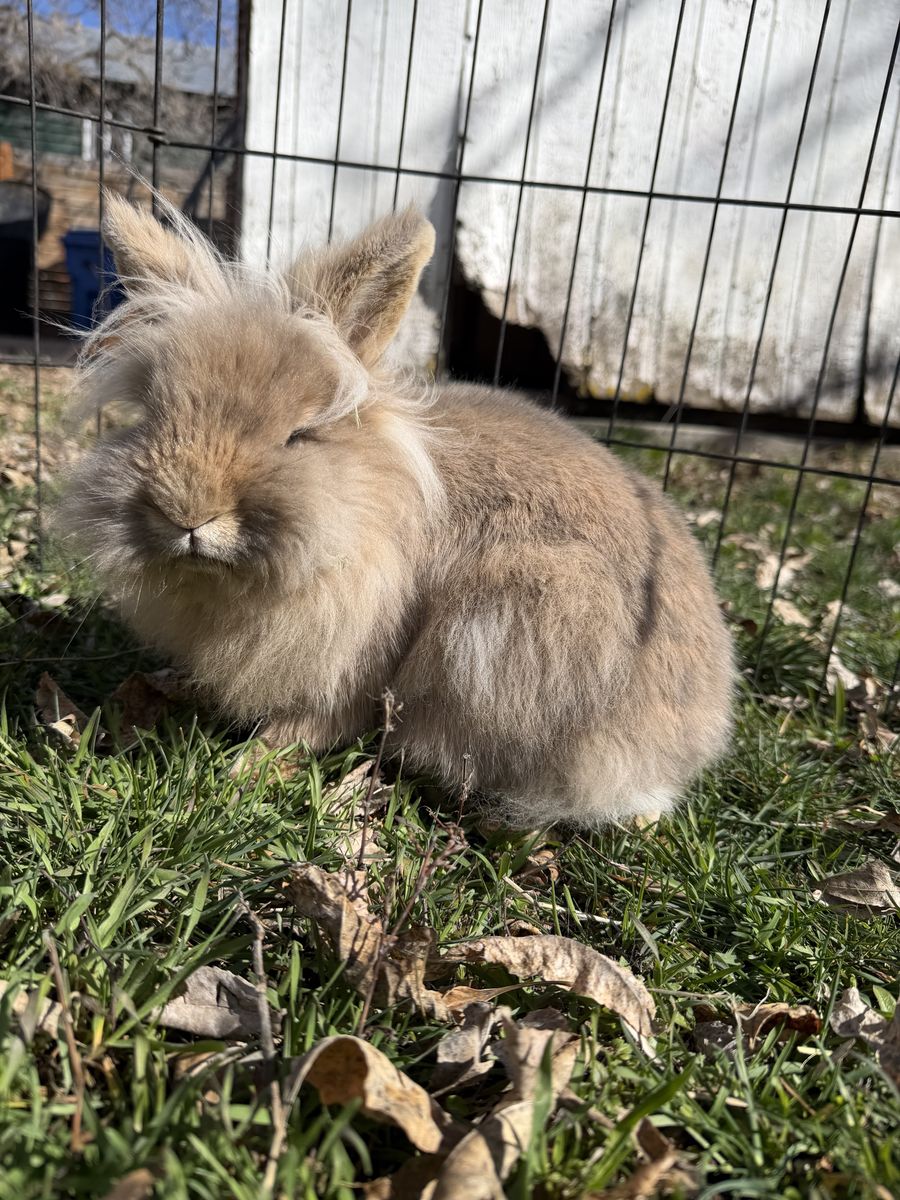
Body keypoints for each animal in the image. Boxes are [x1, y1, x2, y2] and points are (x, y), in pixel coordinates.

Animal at [55, 194, 733, 828]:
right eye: (152, 416)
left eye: (299, 435)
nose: (188, 515)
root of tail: (696, 737)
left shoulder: (353, 661)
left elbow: (307, 726)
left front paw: (243, 770)